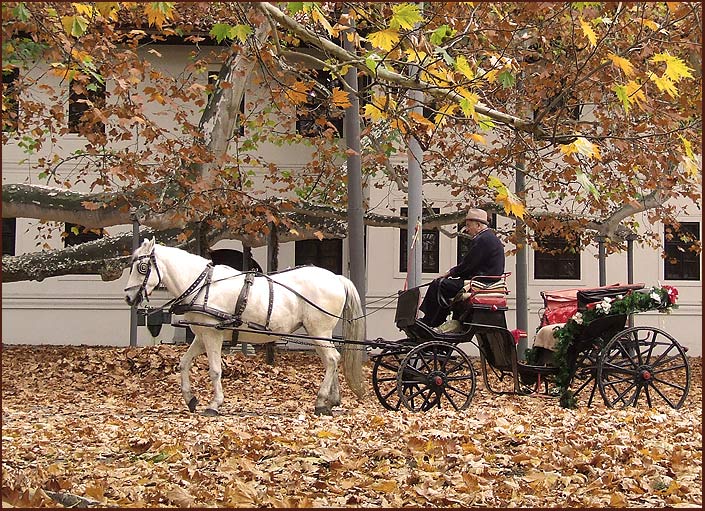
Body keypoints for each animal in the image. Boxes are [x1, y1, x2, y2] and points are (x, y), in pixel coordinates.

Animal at [124, 239, 366, 416]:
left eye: (142, 267)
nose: (128, 297)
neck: (202, 286)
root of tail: (337, 278)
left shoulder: (212, 334)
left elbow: (215, 370)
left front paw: (214, 404)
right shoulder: (201, 336)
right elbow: (183, 364)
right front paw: (190, 399)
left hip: (319, 331)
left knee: (332, 359)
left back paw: (320, 401)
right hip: (318, 334)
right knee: (331, 360)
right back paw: (330, 401)